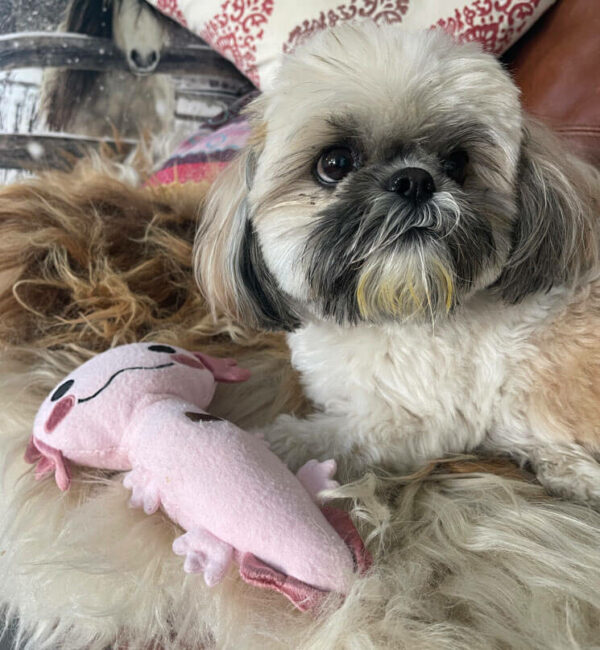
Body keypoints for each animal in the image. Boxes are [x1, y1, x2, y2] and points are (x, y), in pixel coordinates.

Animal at [195, 24, 600, 502]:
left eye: (457, 161)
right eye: (334, 163)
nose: (413, 180)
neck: (390, 313)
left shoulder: (408, 421)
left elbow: (306, 440)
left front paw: (252, 446)